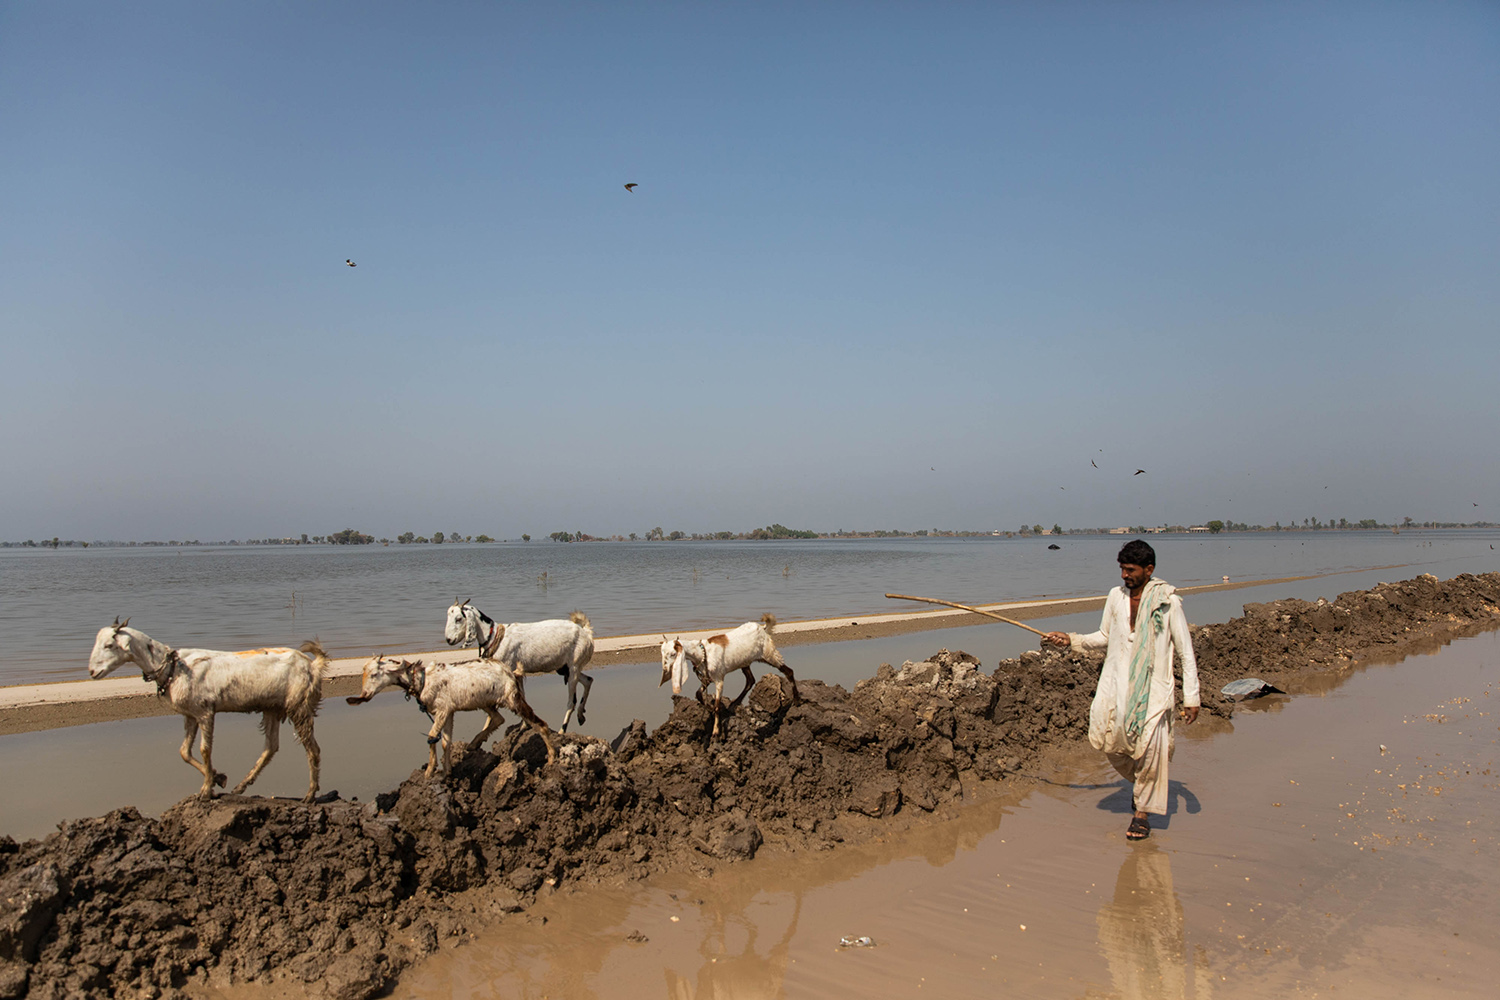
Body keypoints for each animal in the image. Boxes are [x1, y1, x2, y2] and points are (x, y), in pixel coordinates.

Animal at [87, 617, 328, 803]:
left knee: (313, 749)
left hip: (299, 705)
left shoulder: (205, 712)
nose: (91, 671)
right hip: (271, 707)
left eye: (109, 645)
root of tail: (312, 665)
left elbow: (204, 750)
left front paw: (205, 791)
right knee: (271, 747)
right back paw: (240, 786)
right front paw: (217, 778)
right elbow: (184, 752)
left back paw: (309, 795)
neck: (174, 667)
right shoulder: (190, 714)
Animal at [345, 653, 558, 779]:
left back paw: (551, 759)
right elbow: (446, 742)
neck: (423, 680)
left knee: (540, 723)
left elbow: (432, 736)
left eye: (374, 674)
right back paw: (473, 743)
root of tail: (511, 672)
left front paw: (429, 771)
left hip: (512, 698)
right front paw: (447, 772)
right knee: (498, 719)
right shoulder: (448, 712)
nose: (364, 695)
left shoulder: (442, 709)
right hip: (486, 701)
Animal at [441, 602, 594, 734]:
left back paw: (563, 730)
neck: (496, 637)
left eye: (458, 618)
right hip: (564, 668)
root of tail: (586, 633)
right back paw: (581, 716)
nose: (449, 640)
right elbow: (522, 698)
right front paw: (524, 725)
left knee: (571, 702)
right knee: (588, 680)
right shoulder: (516, 674)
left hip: (573, 668)